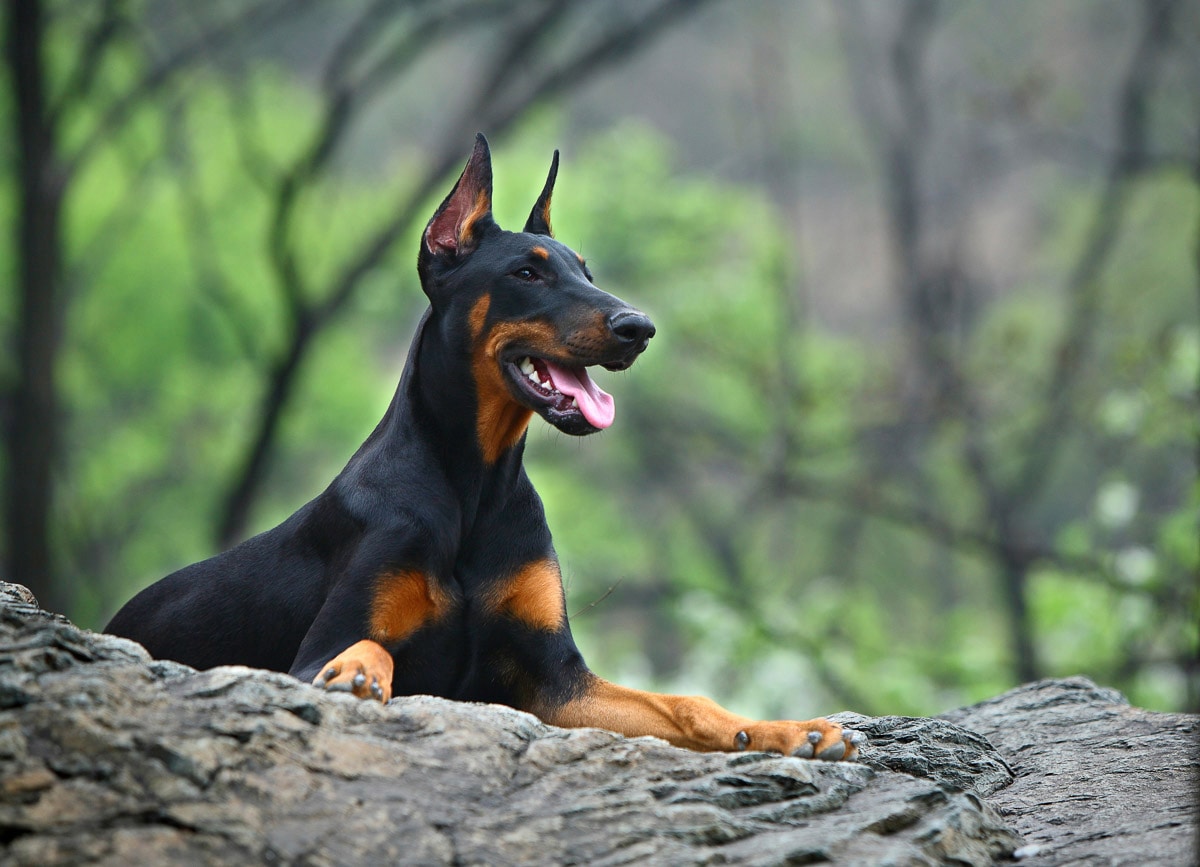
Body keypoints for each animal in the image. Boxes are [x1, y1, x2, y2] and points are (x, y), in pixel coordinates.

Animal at [105, 133, 864, 758]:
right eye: (527, 273)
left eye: (585, 271)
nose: (639, 327)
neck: (474, 482)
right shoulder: (312, 652)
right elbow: (364, 648)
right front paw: (358, 672)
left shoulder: (557, 684)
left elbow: (685, 702)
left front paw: (787, 730)